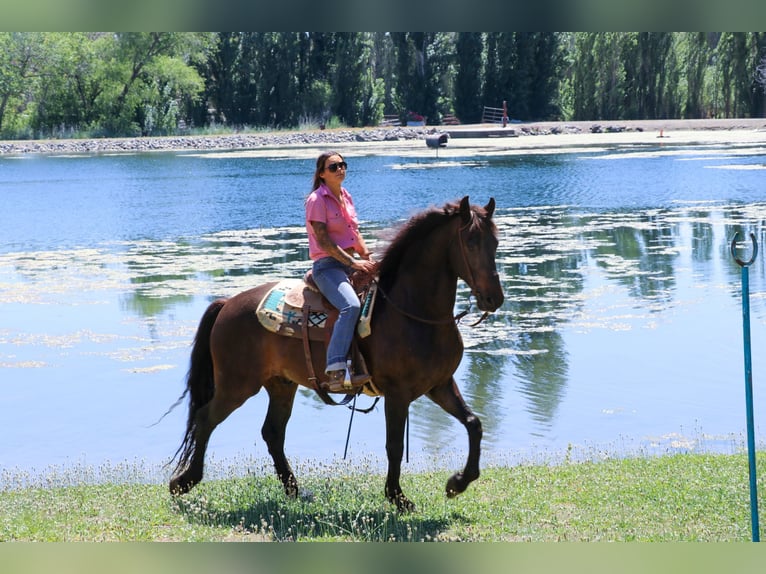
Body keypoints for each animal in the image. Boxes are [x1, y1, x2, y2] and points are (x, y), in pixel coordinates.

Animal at [168, 196, 504, 510]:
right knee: (206, 418)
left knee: (272, 432)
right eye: (471, 242)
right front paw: (398, 498)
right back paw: (184, 481)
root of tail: (228, 303)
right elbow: (394, 445)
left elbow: (474, 423)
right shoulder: (398, 393)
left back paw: (295, 490)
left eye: (496, 242)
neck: (413, 311)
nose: (494, 298)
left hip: (281, 385)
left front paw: (457, 483)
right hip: (236, 385)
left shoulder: (440, 385)